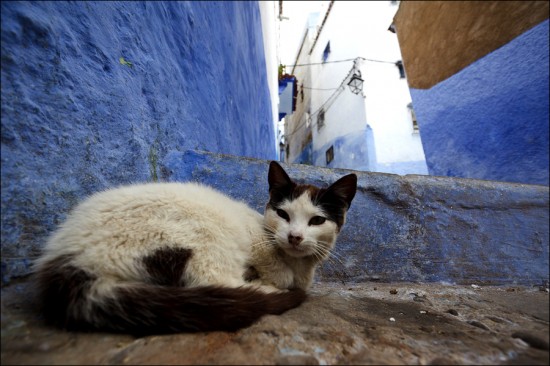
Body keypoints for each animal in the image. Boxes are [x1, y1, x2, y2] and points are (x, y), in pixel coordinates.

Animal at [33, 162, 358, 336]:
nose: (294, 236)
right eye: (283, 214)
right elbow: (273, 265)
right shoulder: (253, 236)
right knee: (218, 284)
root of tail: (65, 257)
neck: (300, 265)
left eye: (317, 220)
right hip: (203, 234)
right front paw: (277, 276)